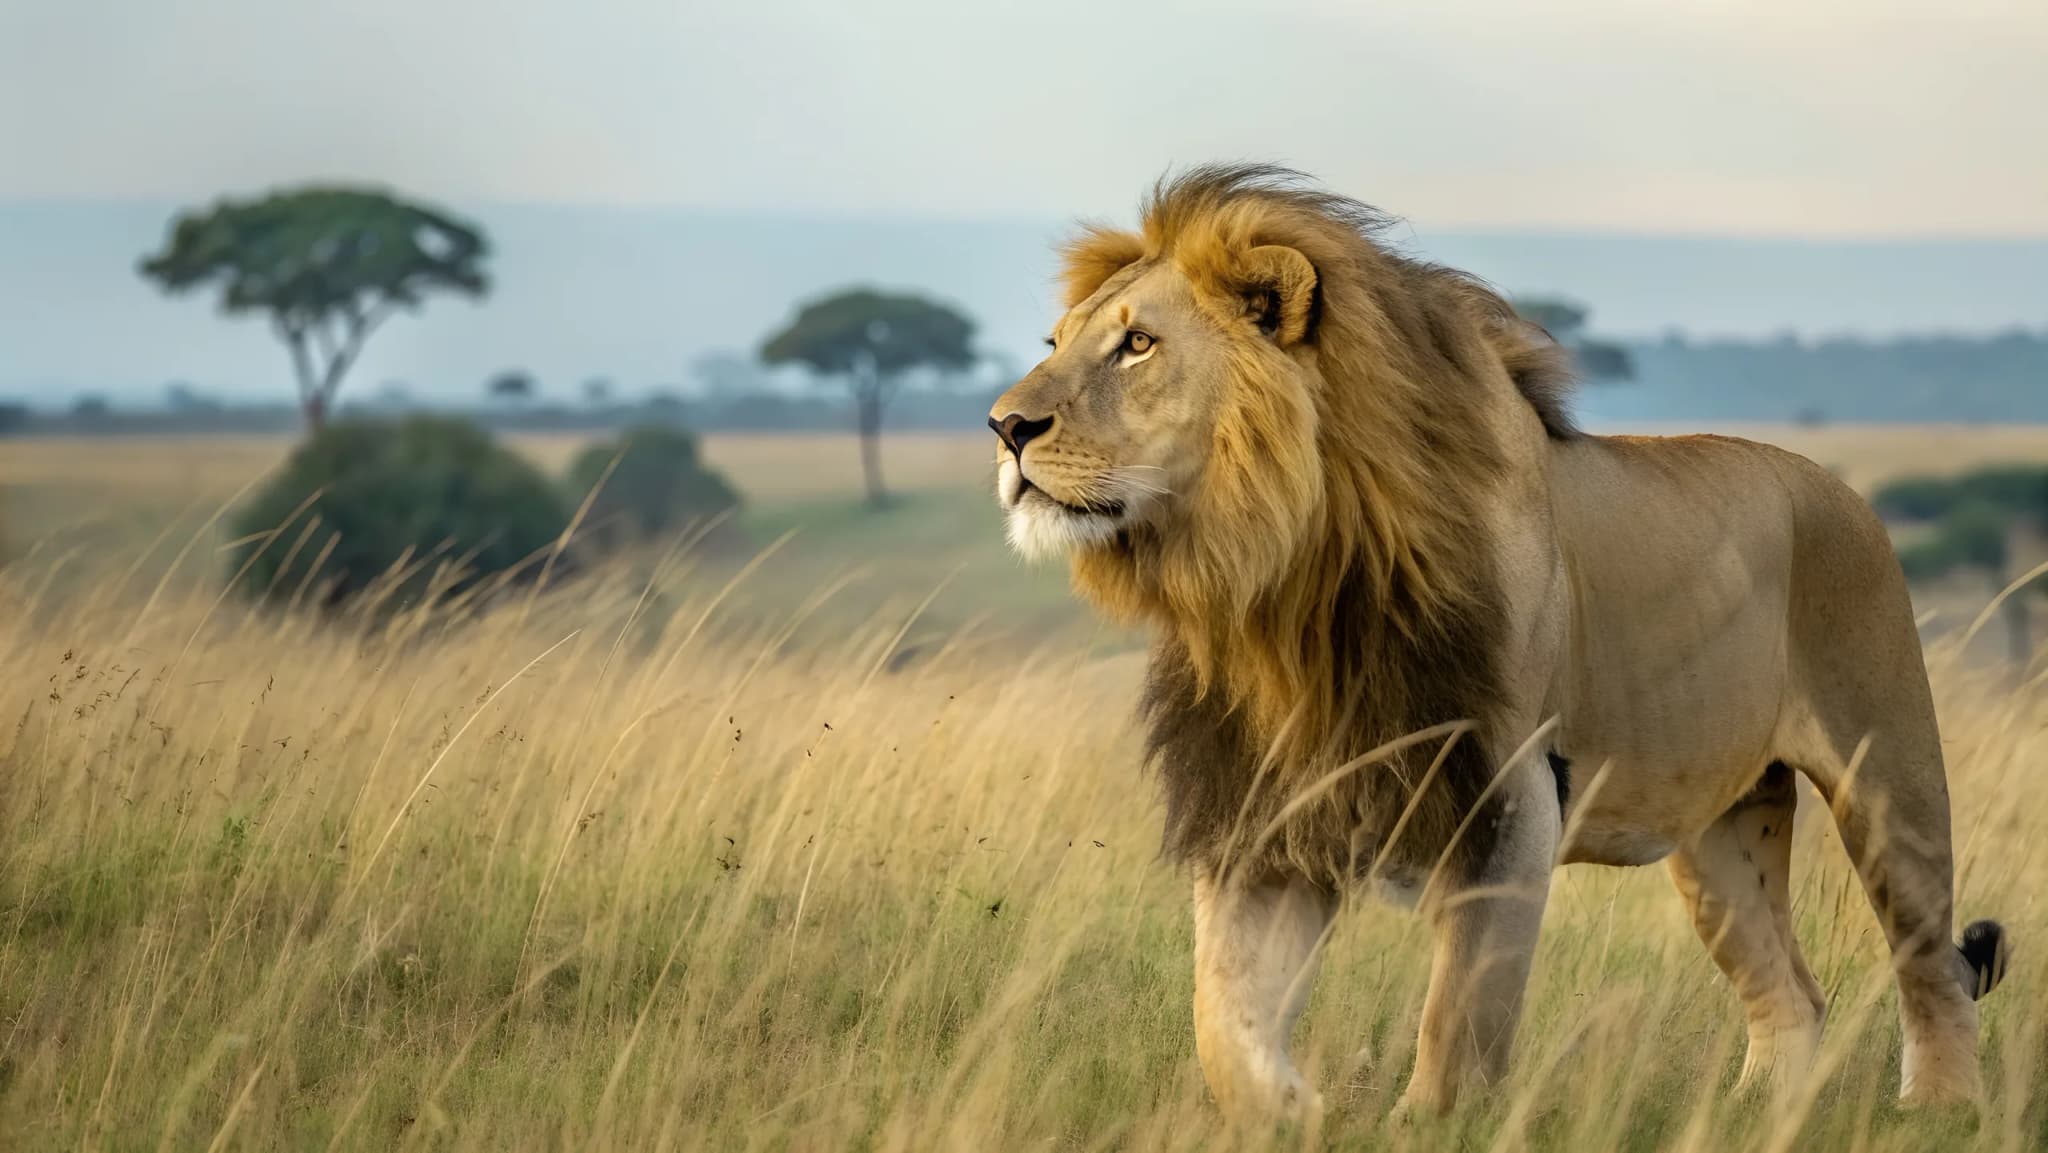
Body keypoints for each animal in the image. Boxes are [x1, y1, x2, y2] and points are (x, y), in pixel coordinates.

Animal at [987, 165, 2009, 1123]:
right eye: (1055, 344)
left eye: (1138, 344)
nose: (1004, 425)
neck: (1284, 581)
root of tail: (1841, 491)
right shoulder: (1264, 811)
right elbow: (1224, 1018)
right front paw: (1295, 1111)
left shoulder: (1511, 793)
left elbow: (1459, 1013)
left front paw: (1424, 1123)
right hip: (1722, 830)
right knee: (1792, 992)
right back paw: (1757, 1112)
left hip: (1889, 771)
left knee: (1932, 965)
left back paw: (1939, 1105)